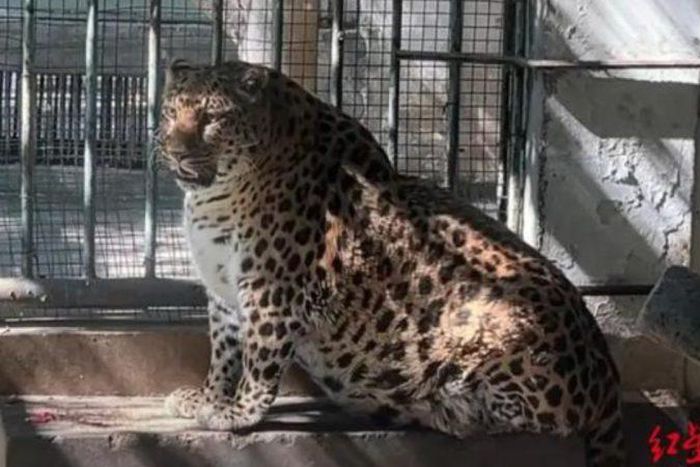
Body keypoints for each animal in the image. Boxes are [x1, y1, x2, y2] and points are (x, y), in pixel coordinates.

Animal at [156, 58, 626, 467]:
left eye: (212, 119)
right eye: (170, 113)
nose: (175, 152)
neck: (214, 196)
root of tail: (608, 380)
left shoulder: (270, 292)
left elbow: (258, 360)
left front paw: (235, 413)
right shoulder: (223, 291)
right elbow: (223, 351)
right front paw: (208, 396)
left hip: (493, 318)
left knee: (531, 424)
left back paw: (425, 404)